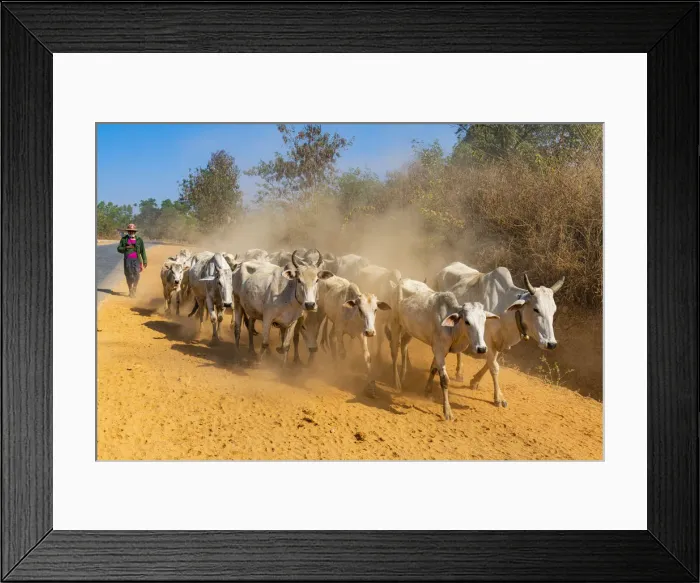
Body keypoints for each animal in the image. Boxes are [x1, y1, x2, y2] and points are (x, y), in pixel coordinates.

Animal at [390, 278, 499, 421]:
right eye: (467, 321)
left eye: (484, 321)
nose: (481, 348)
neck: (453, 328)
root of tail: (400, 281)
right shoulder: (439, 350)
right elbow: (444, 380)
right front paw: (447, 411)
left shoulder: (440, 350)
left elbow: (433, 369)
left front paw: (427, 391)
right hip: (396, 324)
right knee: (394, 351)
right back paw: (396, 382)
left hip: (409, 330)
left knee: (404, 346)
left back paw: (403, 376)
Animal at [434, 262, 564, 407]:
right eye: (536, 309)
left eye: (554, 310)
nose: (551, 344)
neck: (505, 310)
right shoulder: (486, 341)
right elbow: (494, 367)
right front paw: (499, 398)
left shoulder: (499, 344)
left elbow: (490, 363)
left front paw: (475, 381)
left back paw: (459, 372)